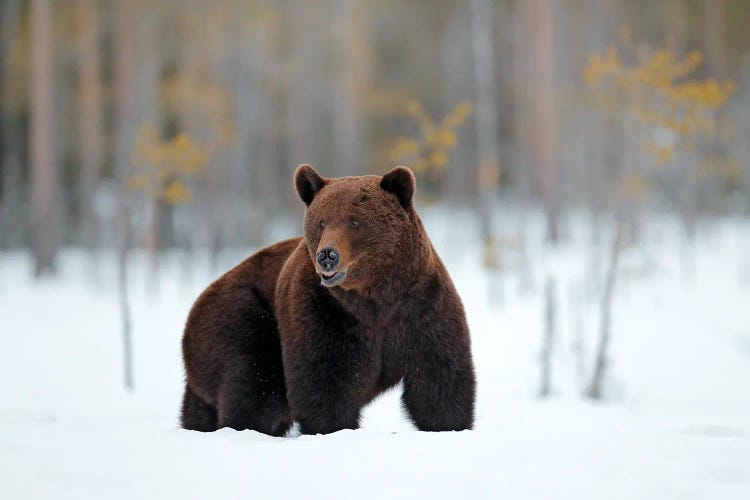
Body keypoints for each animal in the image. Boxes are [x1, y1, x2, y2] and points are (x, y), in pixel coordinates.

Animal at [181, 165, 476, 434]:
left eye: (355, 221)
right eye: (321, 222)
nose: (327, 255)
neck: (375, 298)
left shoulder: (421, 307)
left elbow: (440, 378)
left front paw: (447, 425)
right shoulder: (326, 311)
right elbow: (325, 381)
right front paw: (333, 428)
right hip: (243, 318)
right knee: (252, 384)